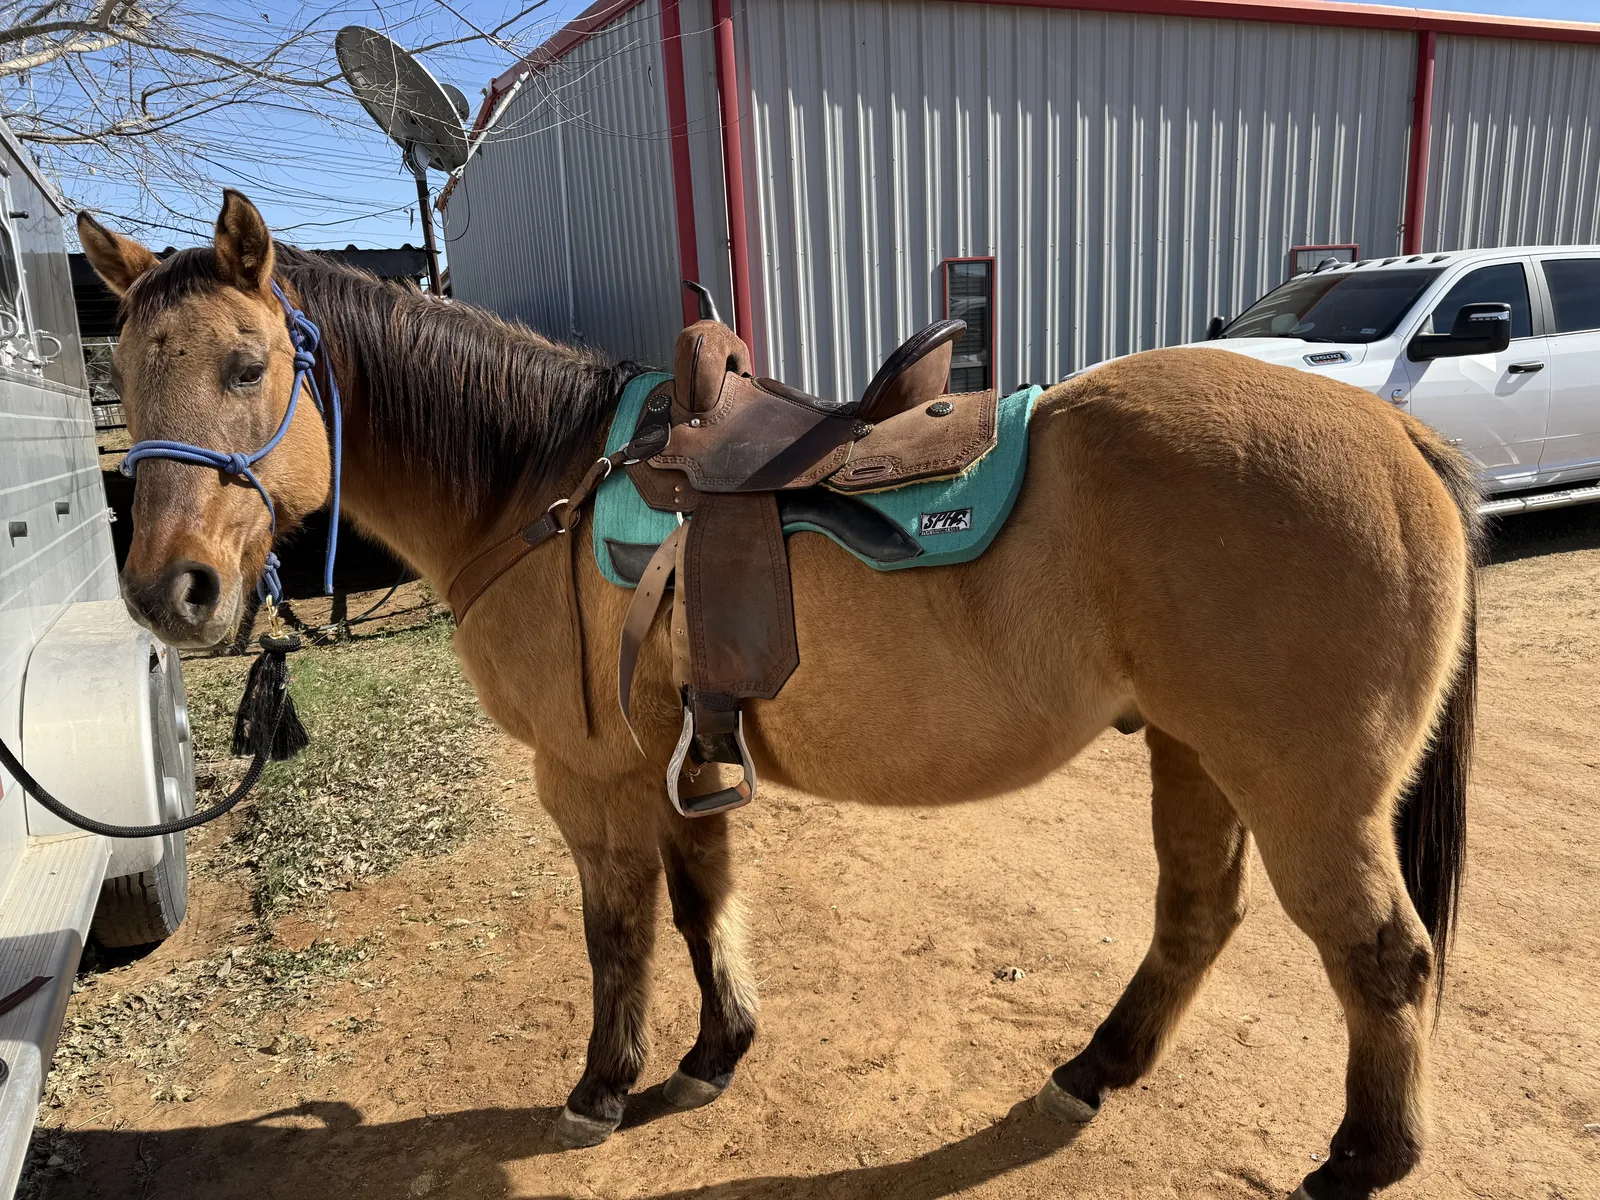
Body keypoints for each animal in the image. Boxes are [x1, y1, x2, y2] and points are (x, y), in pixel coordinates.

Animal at [79, 191, 1478, 1200]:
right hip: (1192, 752)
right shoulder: (679, 757)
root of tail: (1395, 435)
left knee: (1383, 959)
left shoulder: (589, 774)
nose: (171, 592)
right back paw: (1096, 1068)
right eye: (129, 379)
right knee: (1197, 916)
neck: (542, 482)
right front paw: (712, 1057)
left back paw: (1362, 1162)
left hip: (1306, 791)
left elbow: (619, 935)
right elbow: (704, 904)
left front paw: (602, 1088)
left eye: (249, 366)